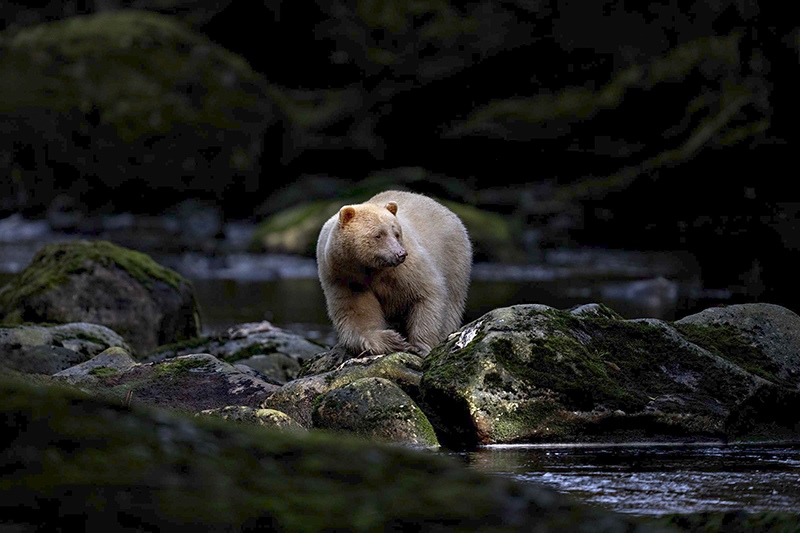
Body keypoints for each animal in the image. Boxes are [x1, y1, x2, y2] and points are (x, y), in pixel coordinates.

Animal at [316, 190, 472, 356]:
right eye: (378, 235)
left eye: (396, 233)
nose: (401, 254)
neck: (369, 269)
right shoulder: (344, 278)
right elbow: (356, 313)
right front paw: (392, 340)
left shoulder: (405, 269)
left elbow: (427, 293)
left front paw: (419, 346)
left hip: (453, 258)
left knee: (453, 300)